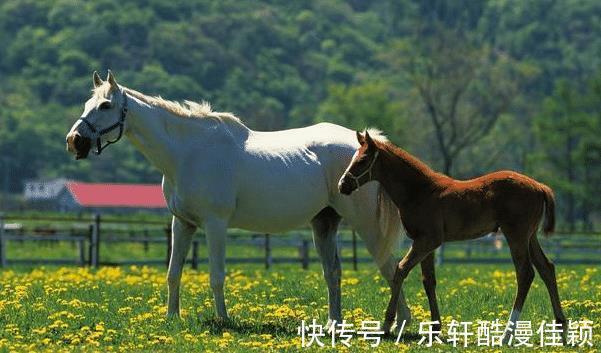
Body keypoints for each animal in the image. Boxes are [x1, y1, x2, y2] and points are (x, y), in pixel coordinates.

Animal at [65, 71, 412, 328]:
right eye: (87, 103)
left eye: (106, 105)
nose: (74, 141)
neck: (188, 153)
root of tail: (369, 147)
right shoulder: (183, 224)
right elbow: (173, 273)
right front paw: (172, 318)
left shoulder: (215, 225)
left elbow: (216, 276)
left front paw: (223, 320)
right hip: (324, 224)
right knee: (334, 273)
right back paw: (333, 325)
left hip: (366, 226)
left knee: (391, 269)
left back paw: (401, 325)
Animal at [340, 131, 564, 340]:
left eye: (362, 160)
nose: (342, 185)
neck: (420, 191)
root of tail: (539, 186)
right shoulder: (425, 244)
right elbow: (428, 281)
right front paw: (435, 328)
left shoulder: (427, 240)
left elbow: (400, 270)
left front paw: (388, 324)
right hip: (530, 237)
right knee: (547, 268)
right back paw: (561, 328)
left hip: (516, 235)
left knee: (525, 274)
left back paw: (507, 335)